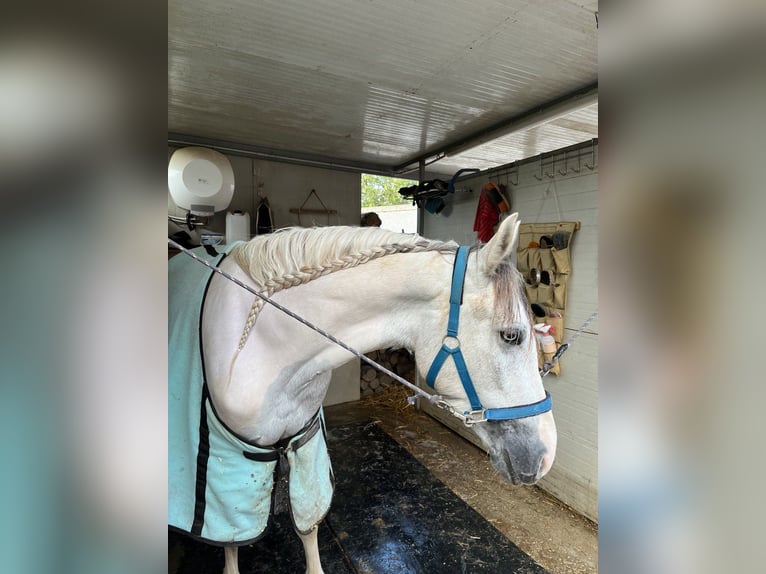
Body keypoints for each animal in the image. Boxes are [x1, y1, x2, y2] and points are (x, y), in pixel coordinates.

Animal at [170, 215, 560, 574]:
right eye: (511, 335)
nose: (547, 454)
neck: (261, 341)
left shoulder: (304, 444)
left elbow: (309, 524)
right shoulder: (226, 464)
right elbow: (231, 540)